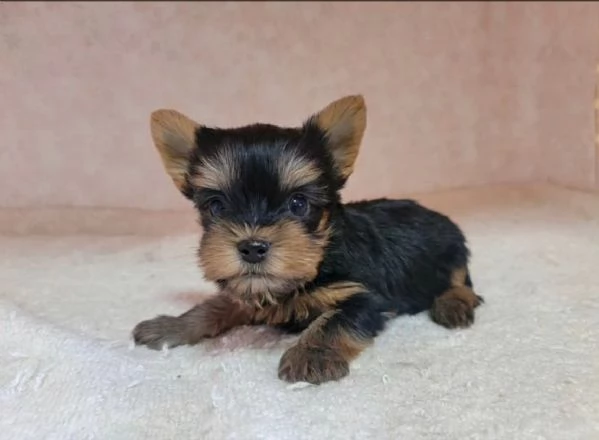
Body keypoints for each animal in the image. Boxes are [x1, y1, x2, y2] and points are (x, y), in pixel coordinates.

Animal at [132, 94, 482, 384]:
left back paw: (453, 304)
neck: (319, 256)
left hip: (452, 247)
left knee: (460, 280)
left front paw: (312, 355)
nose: (252, 247)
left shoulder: (365, 296)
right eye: (216, 206)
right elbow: (217, 305)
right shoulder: (248, 288)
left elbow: (333, 321)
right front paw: (171, 325)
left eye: (298, 204)